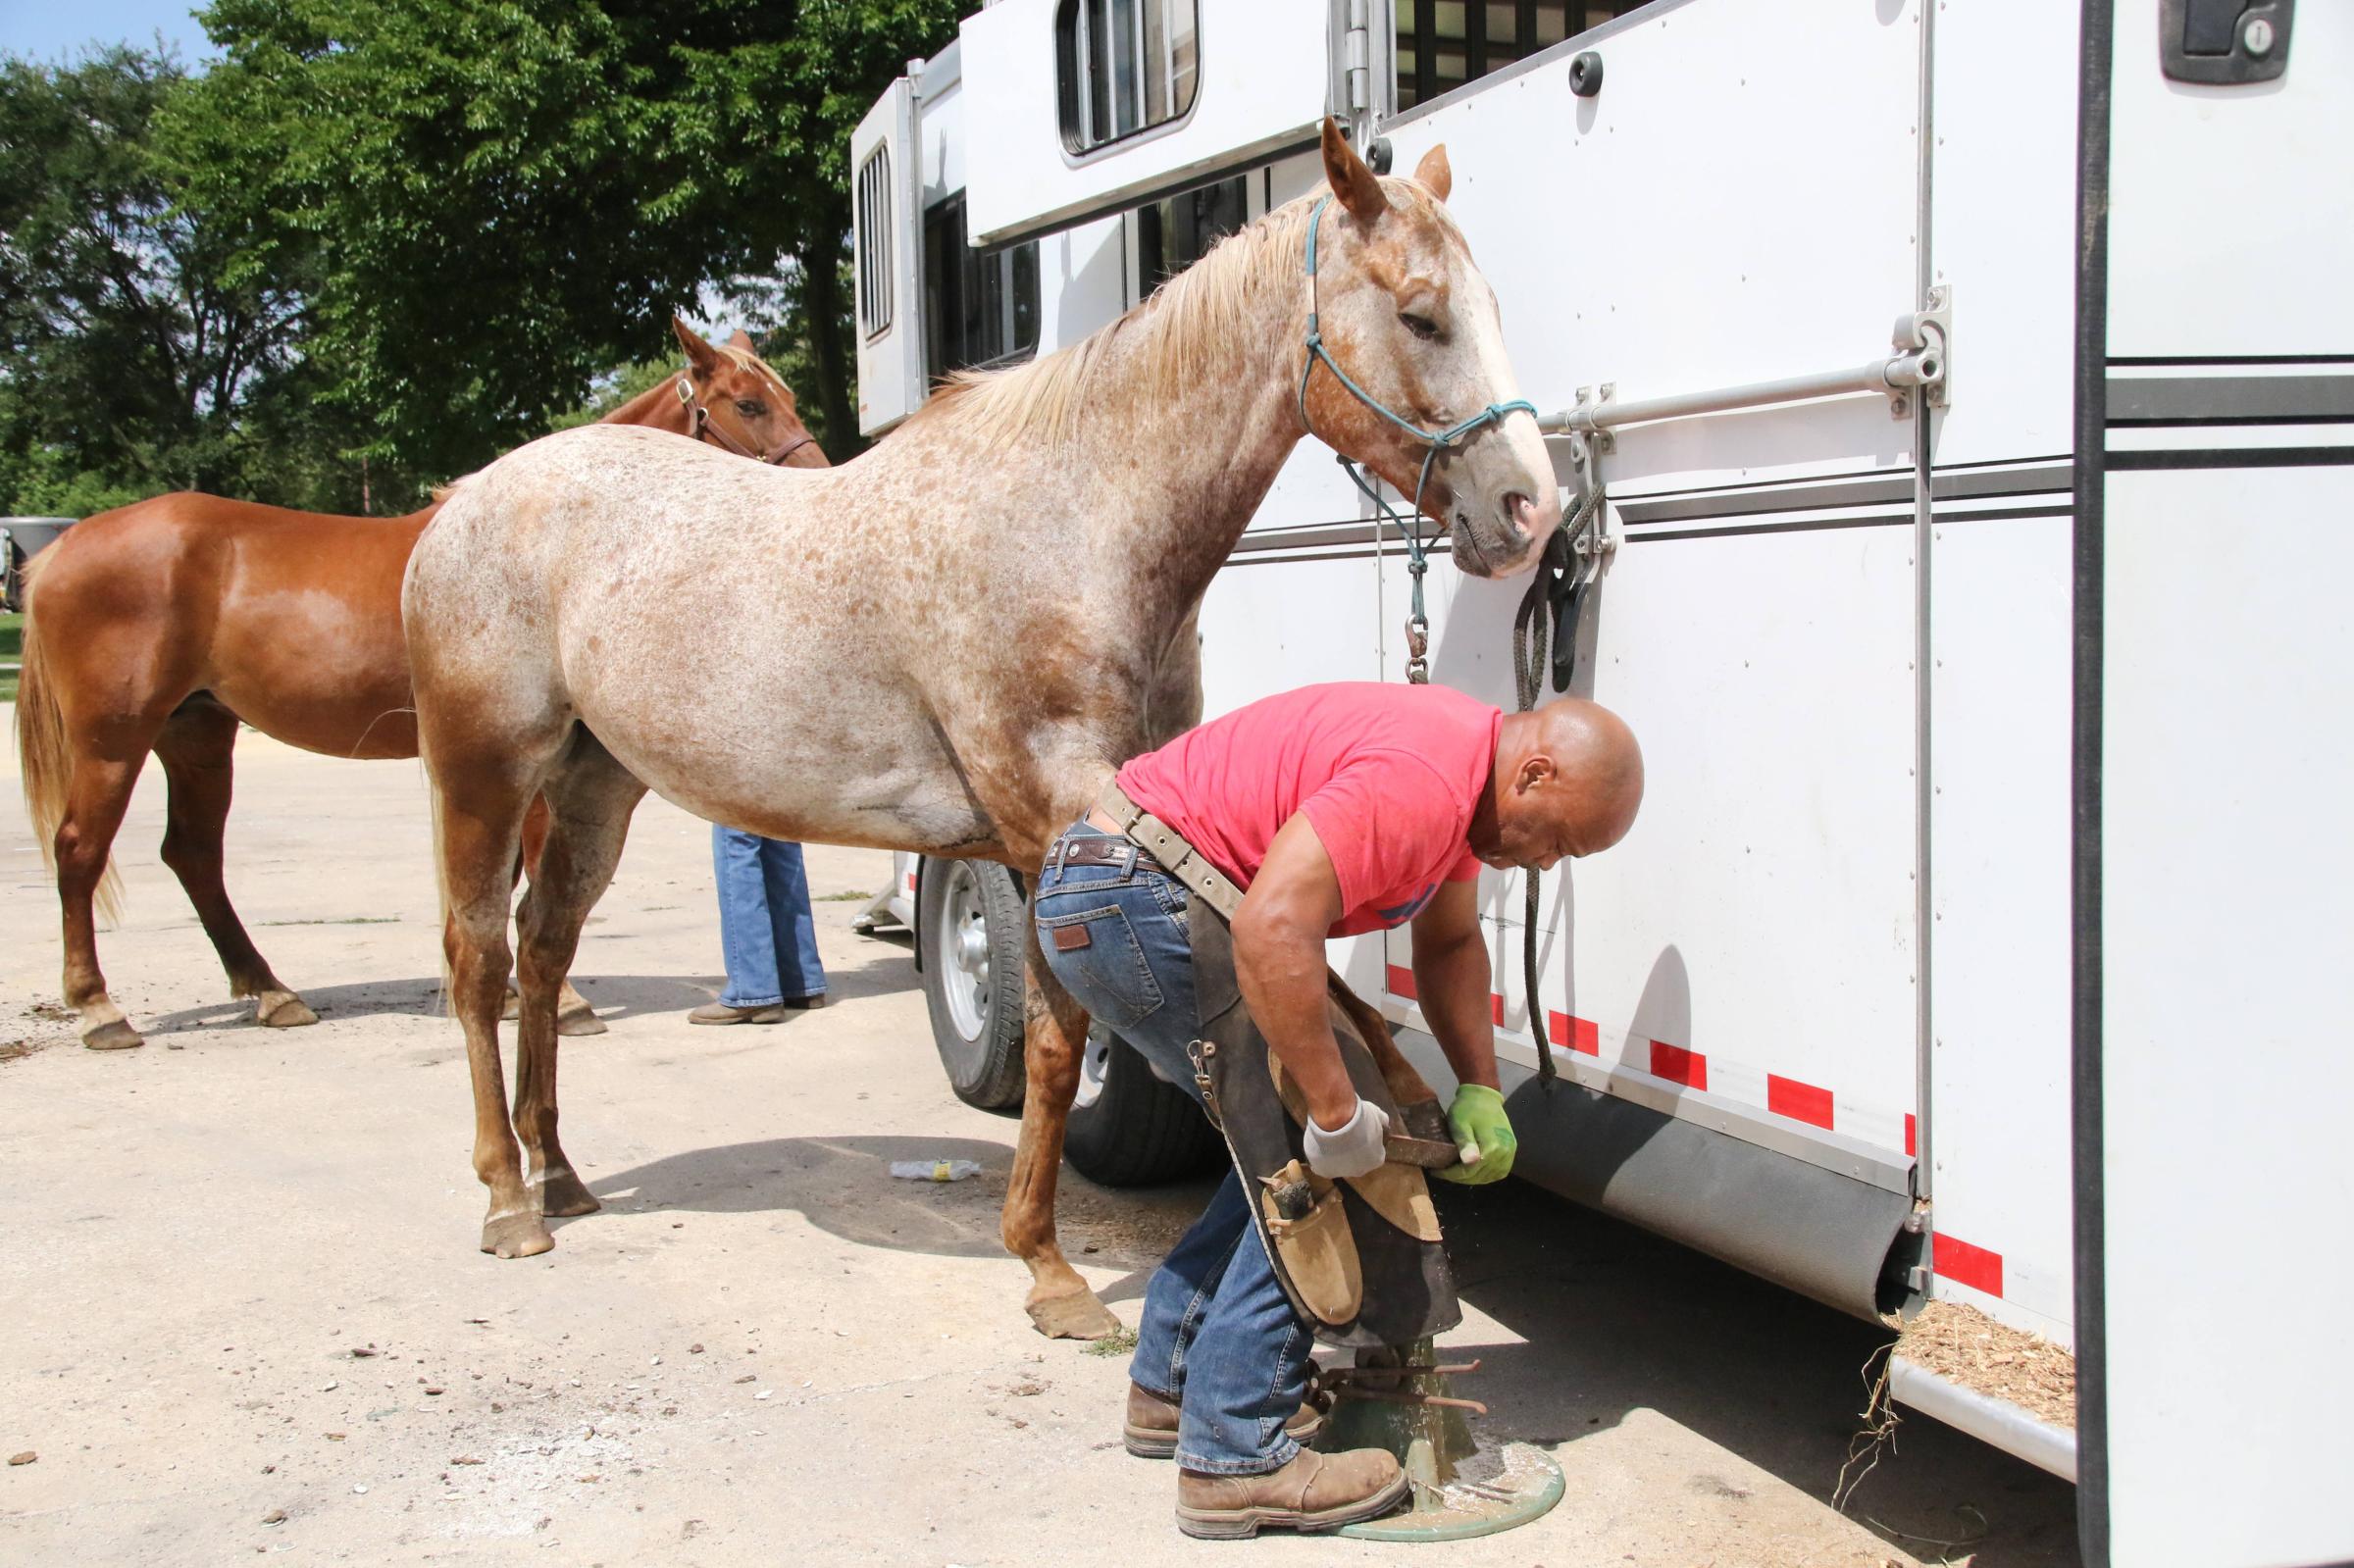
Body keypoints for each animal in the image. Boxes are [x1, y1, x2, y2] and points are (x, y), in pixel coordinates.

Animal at [16, 315, 828, 1049]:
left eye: (785, 396)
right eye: (748, 404)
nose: (820, 480)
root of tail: (63, 547)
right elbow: (524, 878)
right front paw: (558, 1000)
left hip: (198, 734)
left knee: (193, 855)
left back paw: (270, 991)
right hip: (114, 742)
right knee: (80, 851)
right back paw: (99, 1008)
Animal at [400, 127, 1562, 1337]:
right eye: (1421, 315)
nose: (1531, 506)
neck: (1074, 525)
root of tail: (463, 499)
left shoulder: (1113, 821)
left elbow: (1095, 1028)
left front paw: (1049, 1259)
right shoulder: (1055, 819)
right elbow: (1065, 1037)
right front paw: (1053, 1271)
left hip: (594, 788)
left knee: (545, 952)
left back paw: (561, 1175)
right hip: (483, 777)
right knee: (479, 961)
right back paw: (508, 1199)